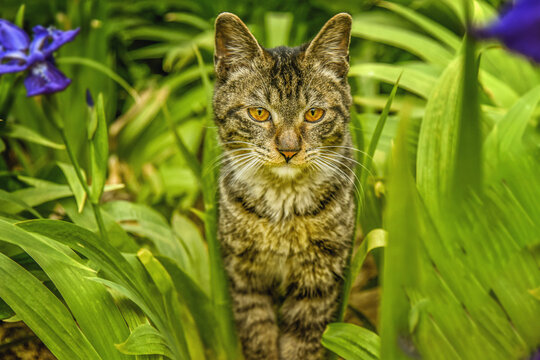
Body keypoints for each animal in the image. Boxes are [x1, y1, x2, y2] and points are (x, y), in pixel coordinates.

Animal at [213, 11, 356, 360]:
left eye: (314, 113)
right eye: (259, 113)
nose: (289, 150)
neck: (282, 205)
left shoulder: (318, 281)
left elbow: (303, 344)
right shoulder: (245, 278)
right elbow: (258, 336)